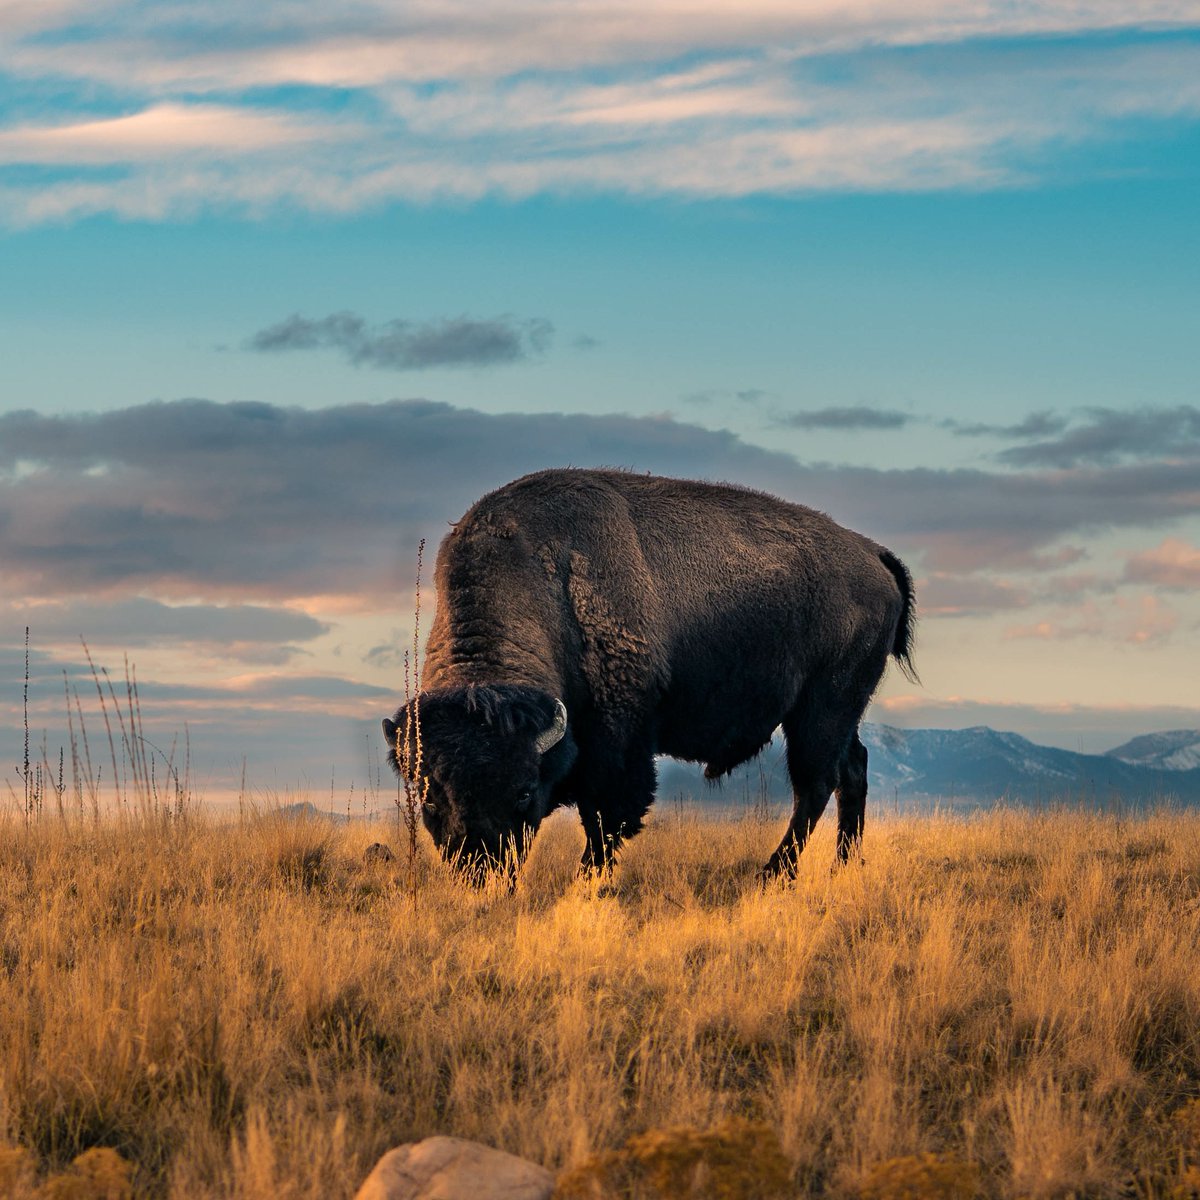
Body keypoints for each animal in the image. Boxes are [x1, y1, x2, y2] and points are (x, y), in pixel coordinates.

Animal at [383, 468, 916, 882]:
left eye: (524, 791)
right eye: (429, 802)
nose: (481, 872)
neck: (549, 590)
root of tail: (873, 554)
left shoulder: (618, 743)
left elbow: (606, 821)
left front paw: (588, 884)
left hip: (823, 707)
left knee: (816, 784)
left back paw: (774, 875)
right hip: (837, 714)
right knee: (852, 769)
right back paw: (842, 867)